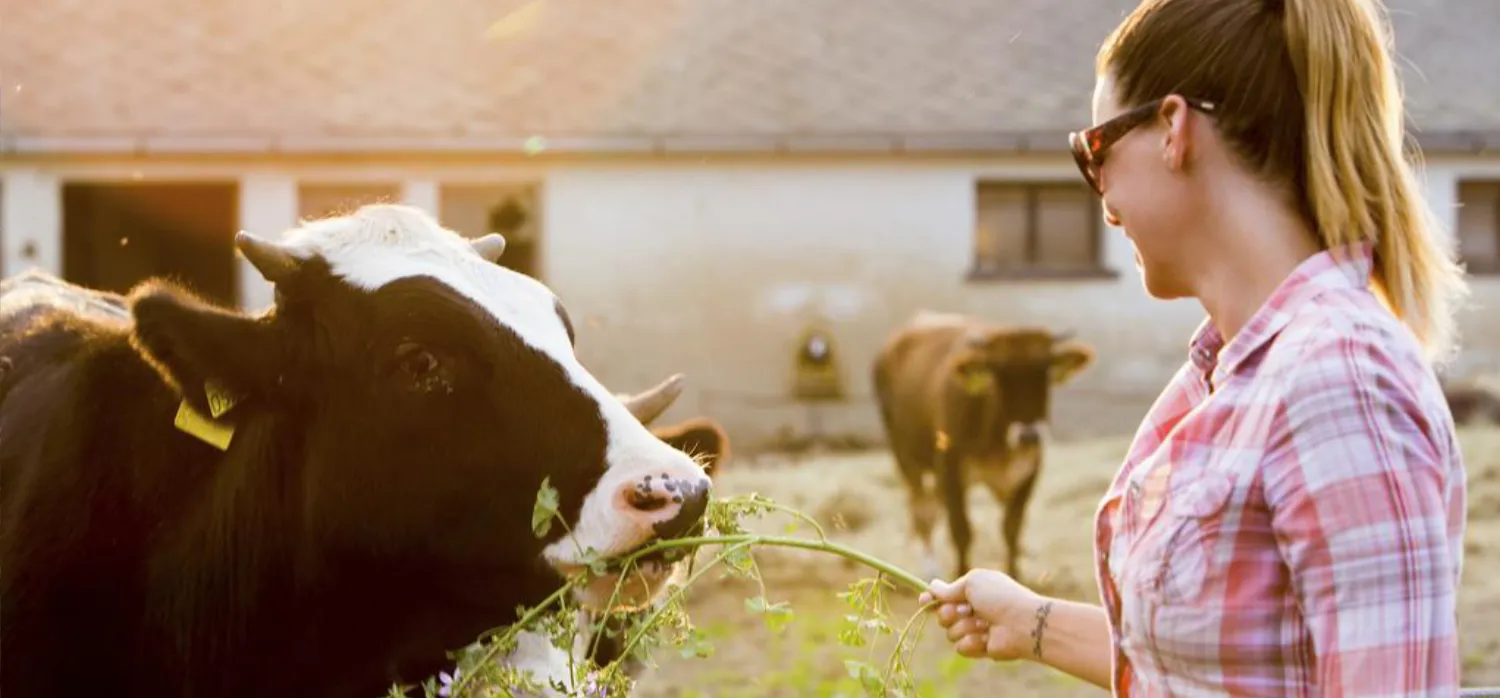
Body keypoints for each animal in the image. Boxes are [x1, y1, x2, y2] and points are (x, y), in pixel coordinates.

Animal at [876, 312, 1098, 579]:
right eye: (999, 373)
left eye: (1044, 370)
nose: (1029, 435)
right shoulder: (950, 471)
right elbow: (961, 531)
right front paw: (961, 574)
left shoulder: (1029, 470)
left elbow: (1012, 528)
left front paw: (1014, 575)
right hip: (905, 456)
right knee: (922, 510)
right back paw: (929, 565)